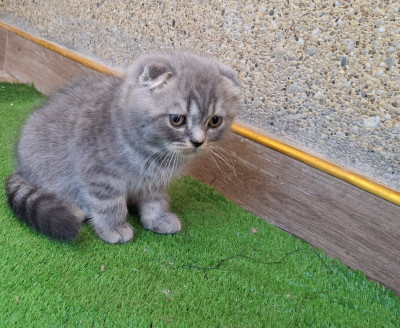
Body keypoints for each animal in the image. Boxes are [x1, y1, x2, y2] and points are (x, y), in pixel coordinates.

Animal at [5, 51, 241, 243]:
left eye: (215, 121)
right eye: (177, 119)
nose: (198, 142)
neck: (153, 153)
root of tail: (21, 166)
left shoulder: (156, 182)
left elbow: (156, 200)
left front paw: (157, 218)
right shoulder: (99, 173)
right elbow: (109, 203)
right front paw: (113, 227)